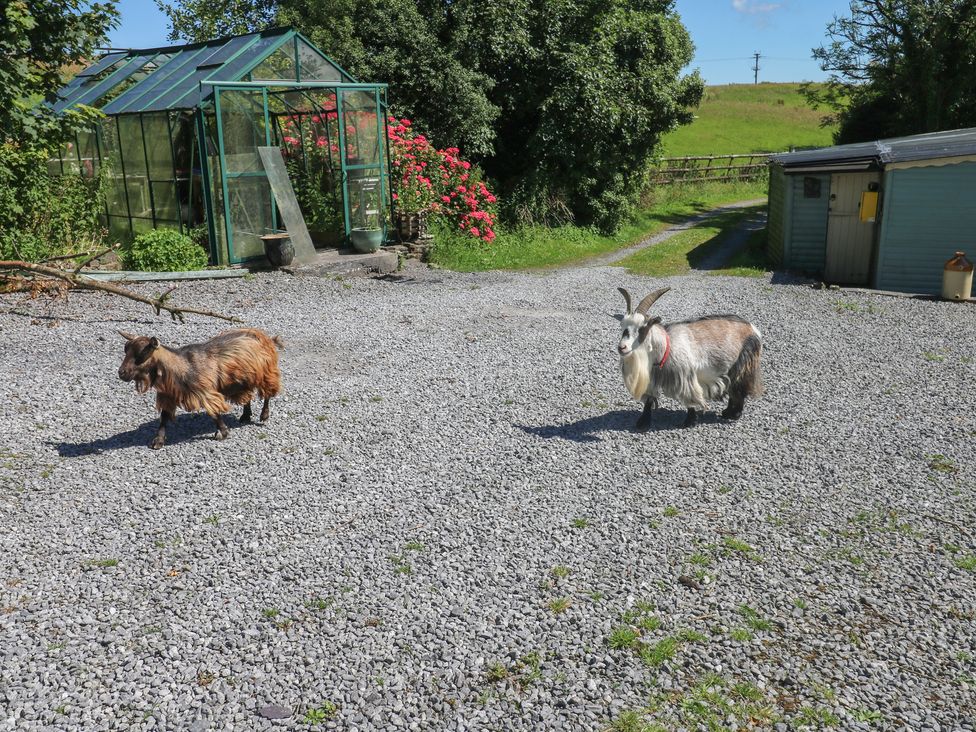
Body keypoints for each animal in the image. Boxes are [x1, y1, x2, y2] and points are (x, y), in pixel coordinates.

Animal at [117, 328, 283, 449]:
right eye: (126, 350)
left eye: (141, 354)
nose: (121, 372)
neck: (182, 367)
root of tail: (267, 337)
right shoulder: (168, 395)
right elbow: (164, 417)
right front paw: (158, 441)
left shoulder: (205, 392)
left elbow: (214, 412)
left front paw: (223, 432)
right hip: (243, 381)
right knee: (247, 396)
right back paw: (245, 415)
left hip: (267, 373)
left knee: (267, 394)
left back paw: (264, 415)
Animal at [616, 287, 762, 429]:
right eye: (622, 327)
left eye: (642, 328)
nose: (622, 347)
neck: (667, 346)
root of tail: (752, 329)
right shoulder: (652, 376)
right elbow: (649, 398)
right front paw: (643, 421)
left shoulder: (685, 377)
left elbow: (690, 398)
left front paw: (689, 421)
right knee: (733, 387)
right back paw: (728, 412)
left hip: (743, 363)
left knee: (739, 387)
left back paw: (734, 414)